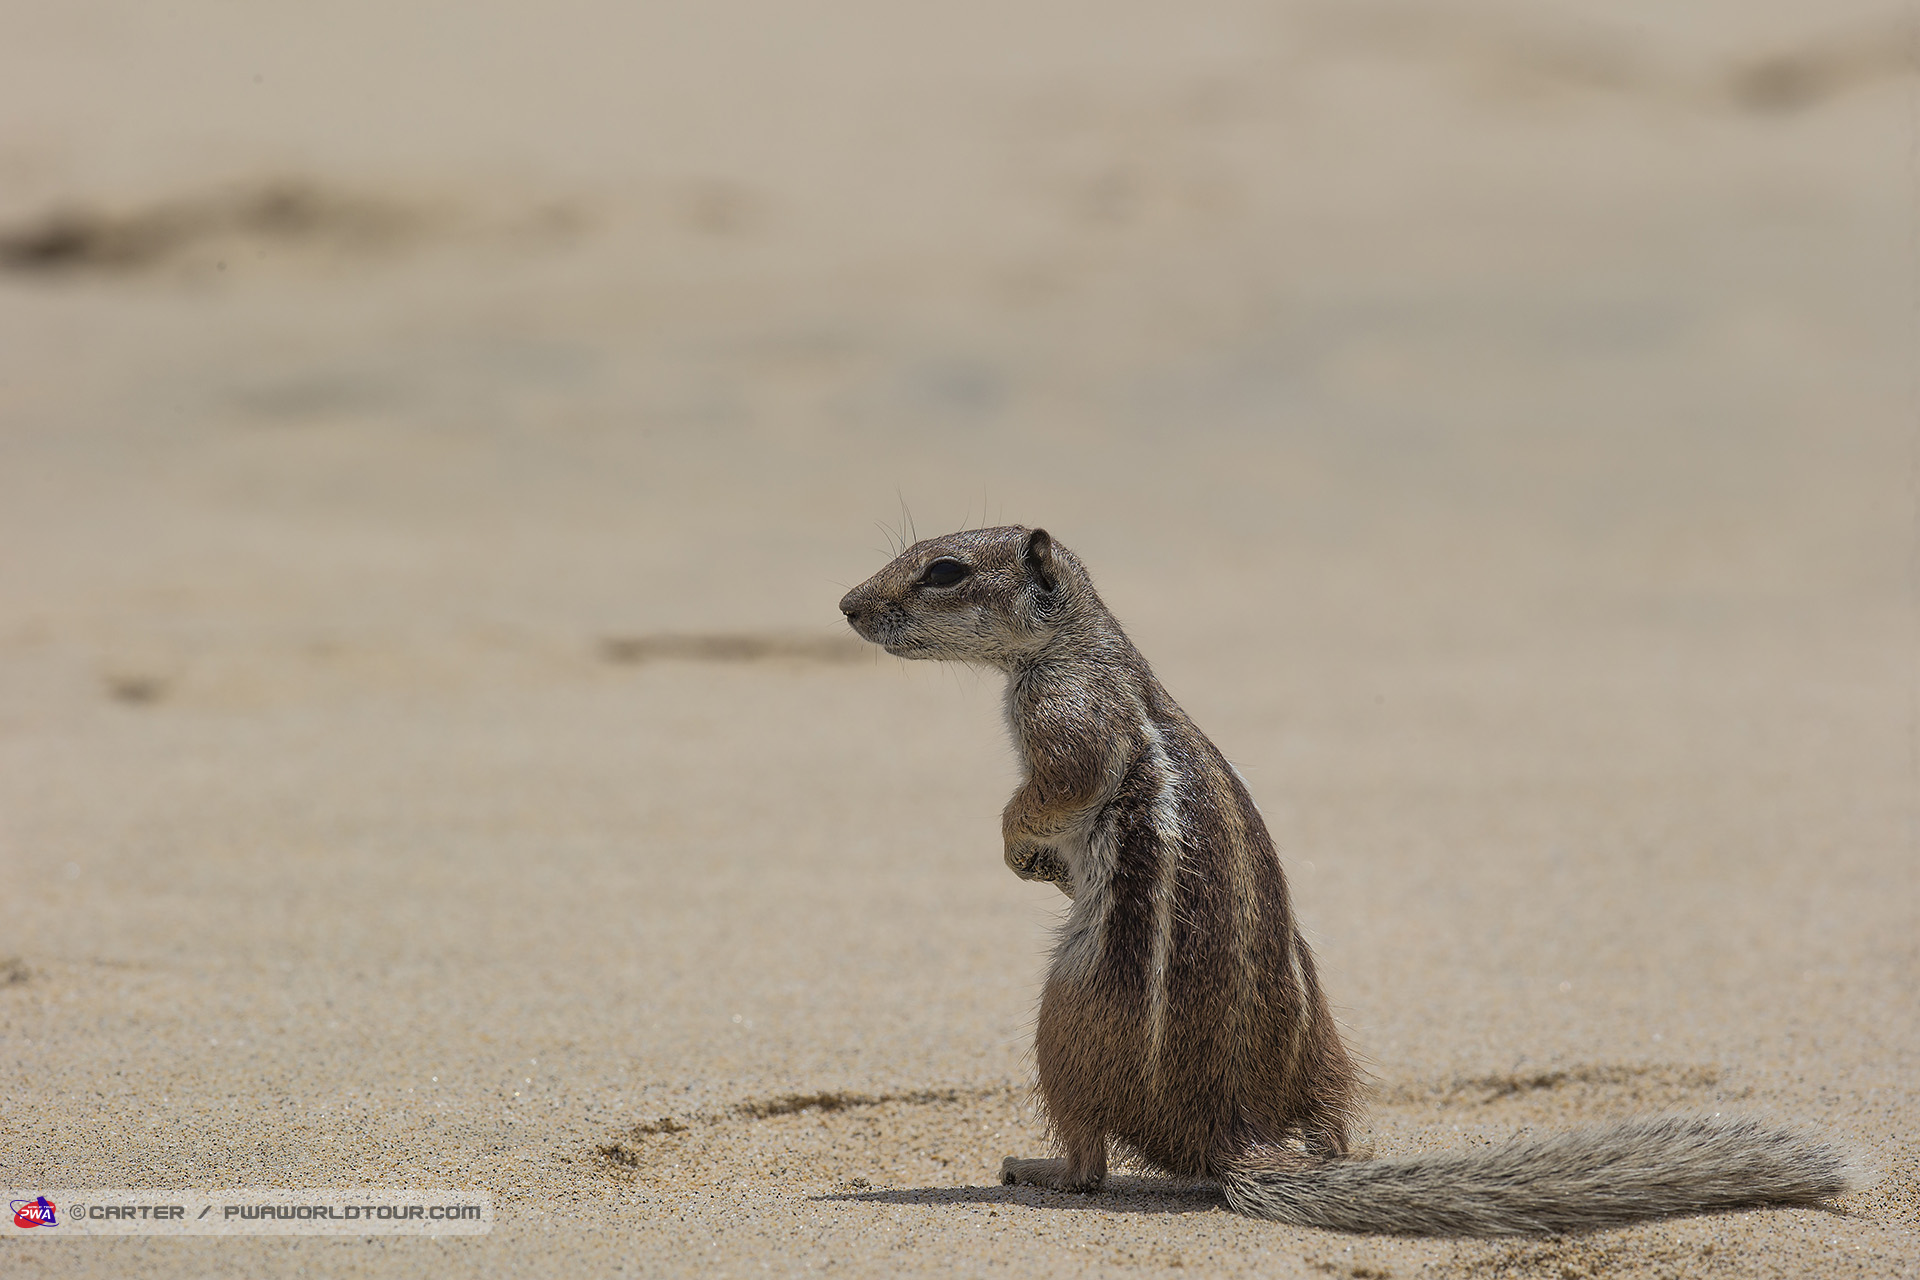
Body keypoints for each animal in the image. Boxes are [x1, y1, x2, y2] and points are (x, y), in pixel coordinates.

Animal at [837, 524, 1864, 1235]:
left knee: (1089, 1159)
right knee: (1333, 1125)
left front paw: (1020, 851)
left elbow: (1051, 791)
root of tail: (1234, 1131)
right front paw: (1041, 867)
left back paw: (1037, 1168)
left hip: (1063, 1019)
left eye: (944, 571)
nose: (847, 606)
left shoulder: (1066, 718)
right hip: (1323, 1041)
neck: (1083, 643)